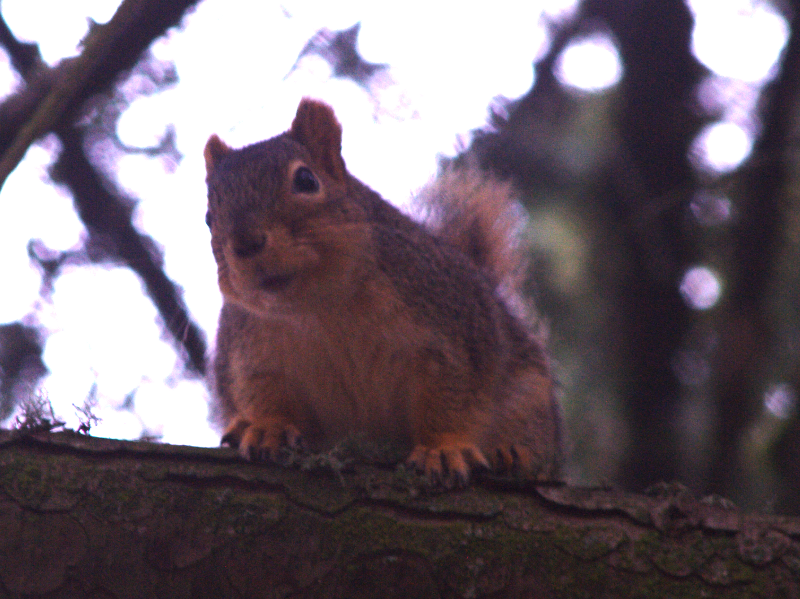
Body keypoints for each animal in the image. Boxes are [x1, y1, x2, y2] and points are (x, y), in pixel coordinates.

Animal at [203, 98, 561, 486]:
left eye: (306, 180)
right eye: (208, 217)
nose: (246, 243)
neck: (317, 305)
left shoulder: (448, 331)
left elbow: (452, 396)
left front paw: (443, 449)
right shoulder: (252, 352)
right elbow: (262, 393)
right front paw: (267, 428)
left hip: (530, 396)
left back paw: (514, 454)